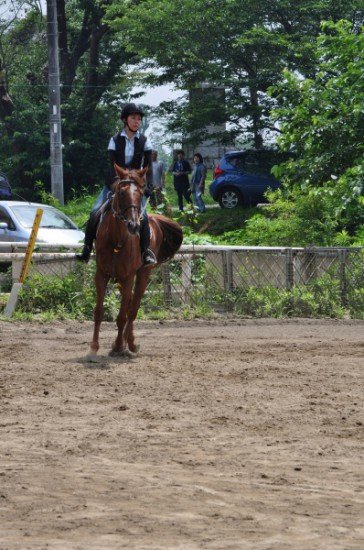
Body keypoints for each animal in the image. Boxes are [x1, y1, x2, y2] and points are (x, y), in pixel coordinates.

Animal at [90, 164, 183, 358]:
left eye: (140, 193)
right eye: (120, 192)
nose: (134, 225)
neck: (116, 239)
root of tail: (155, 218)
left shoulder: (128, 276)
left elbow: (122, 316)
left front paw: (118, 345)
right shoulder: (101, 274)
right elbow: (99, 312)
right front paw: (94, 347)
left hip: (142, 274)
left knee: (133, 308)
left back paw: (127, 343)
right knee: (130, 305)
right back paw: (128, 342)